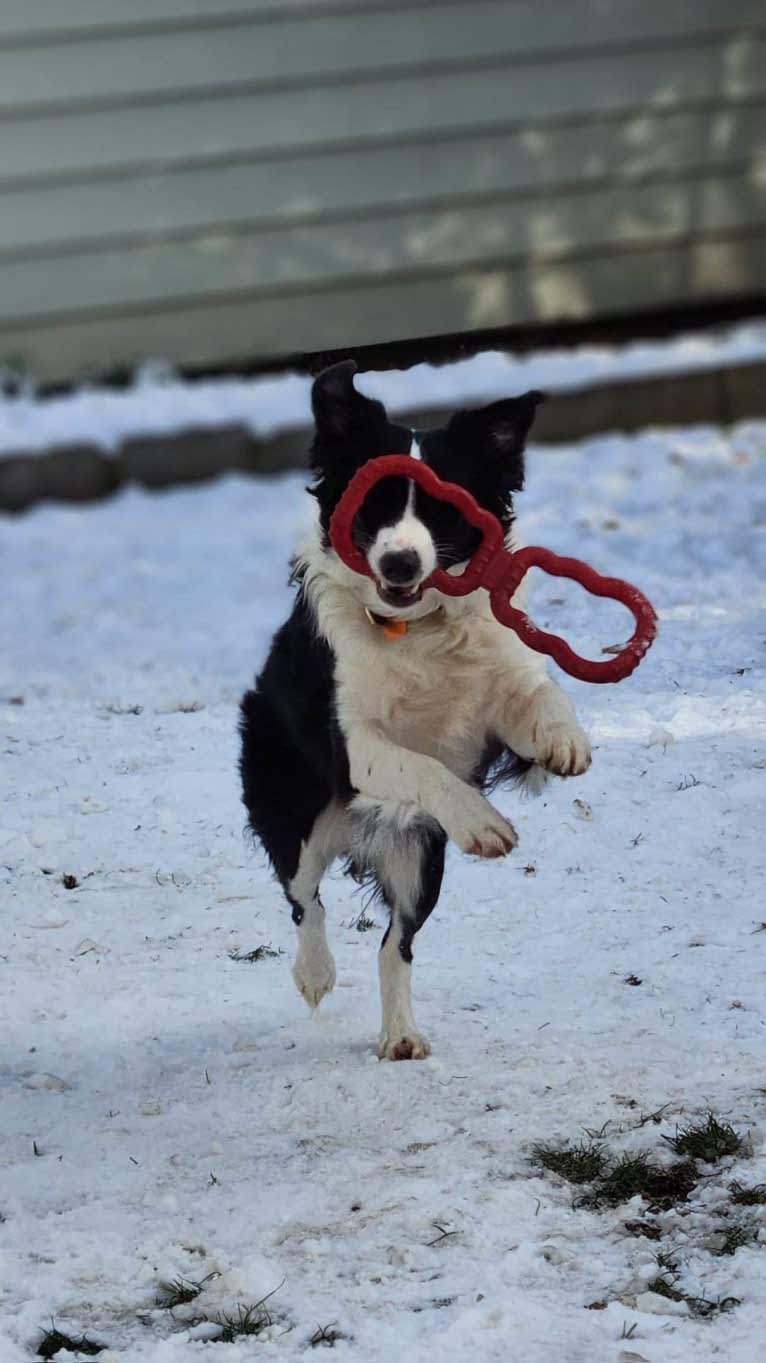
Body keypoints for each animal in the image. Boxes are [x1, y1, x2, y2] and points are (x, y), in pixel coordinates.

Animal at [241, 359, 586, 1052]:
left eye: (444, 511)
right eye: (372, 504)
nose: (400, 561)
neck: (415, 629)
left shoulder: (491, 700)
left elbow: (539, 691)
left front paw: (564, 738)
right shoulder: (354, 746)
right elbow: (424, 767)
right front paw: (483, 821)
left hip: (421, 853)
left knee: (394, 942)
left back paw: (399, 1036)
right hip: (297, 811)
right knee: (304, 897)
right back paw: (315, 975)